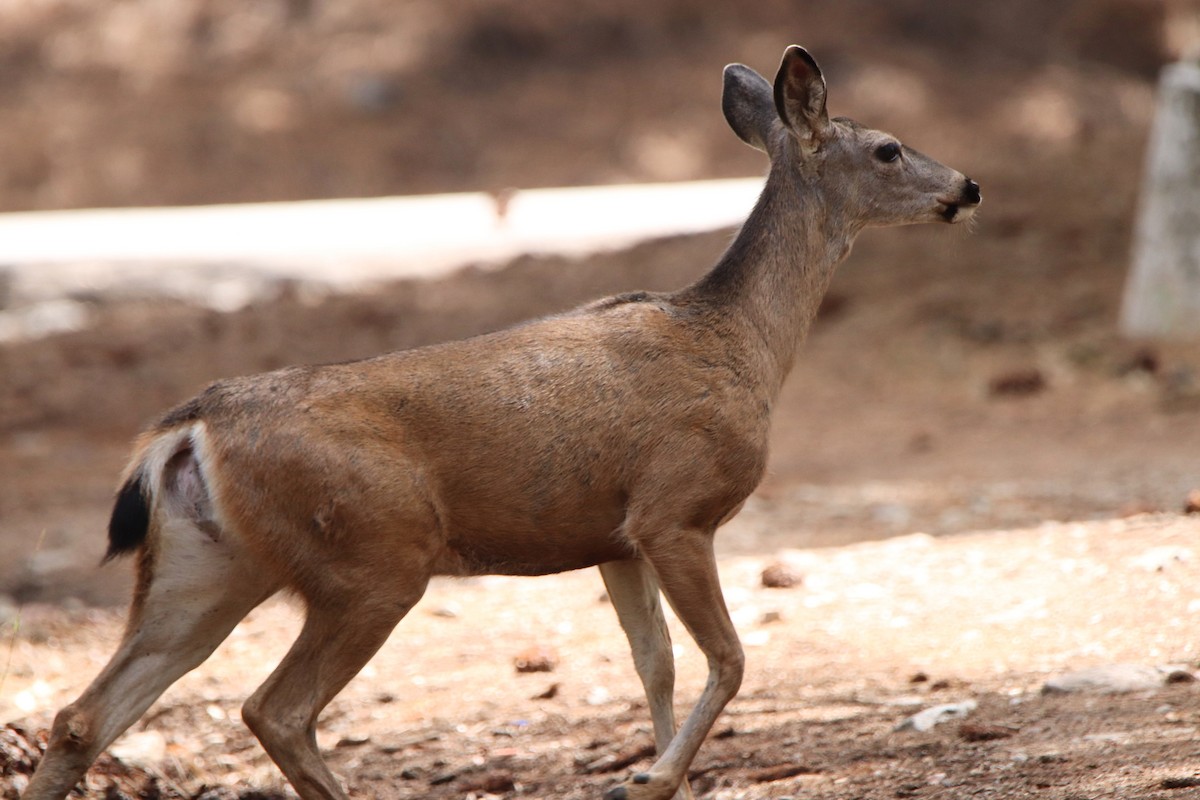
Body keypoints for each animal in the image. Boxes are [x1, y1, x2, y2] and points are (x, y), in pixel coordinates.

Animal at [22, 46, 980, 800]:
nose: (969, 184)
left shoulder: (614, 537)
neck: (741, 339)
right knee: (276, 709)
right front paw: (653, 778)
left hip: (208, 563)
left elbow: (655, 662)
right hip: (373, 555)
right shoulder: (676, 506)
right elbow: (729, 657)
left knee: (83, 716)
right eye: (889, 147)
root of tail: (188, 430)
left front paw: (652, 774)